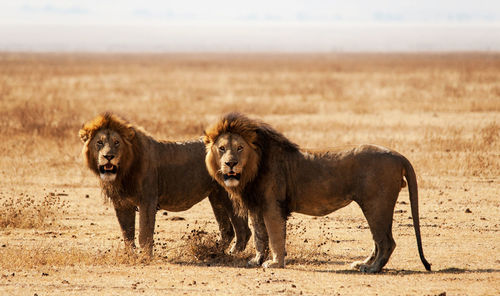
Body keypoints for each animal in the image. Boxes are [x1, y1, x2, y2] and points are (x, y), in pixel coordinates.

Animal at [79, 112, 250, 256]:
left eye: (116, 142)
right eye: (99, 142)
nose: (108, 156)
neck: (123, 171)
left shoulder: (148, 199)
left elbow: (144, 233)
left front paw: (145, 257)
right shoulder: (122, 203)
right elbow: (127, 233)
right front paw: (130, 255)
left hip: (228, 196)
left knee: (243, 230)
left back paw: (231, 254)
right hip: (216, 197)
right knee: (228, 231)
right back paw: (213, 251)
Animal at [203, 112, 430, 272]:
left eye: (240, 148)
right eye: (222, 148)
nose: (230, 164)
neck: (252, 169)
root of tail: (398, 155)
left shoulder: (272, 206)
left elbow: (275, 235)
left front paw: (275, 263)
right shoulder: (257, 207)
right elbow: (260, 236)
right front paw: (257, 260)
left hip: (376, 204)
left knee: (386, 241)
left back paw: (372, 268)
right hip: (374, 206)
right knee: (378, 241)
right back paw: (362, 264)